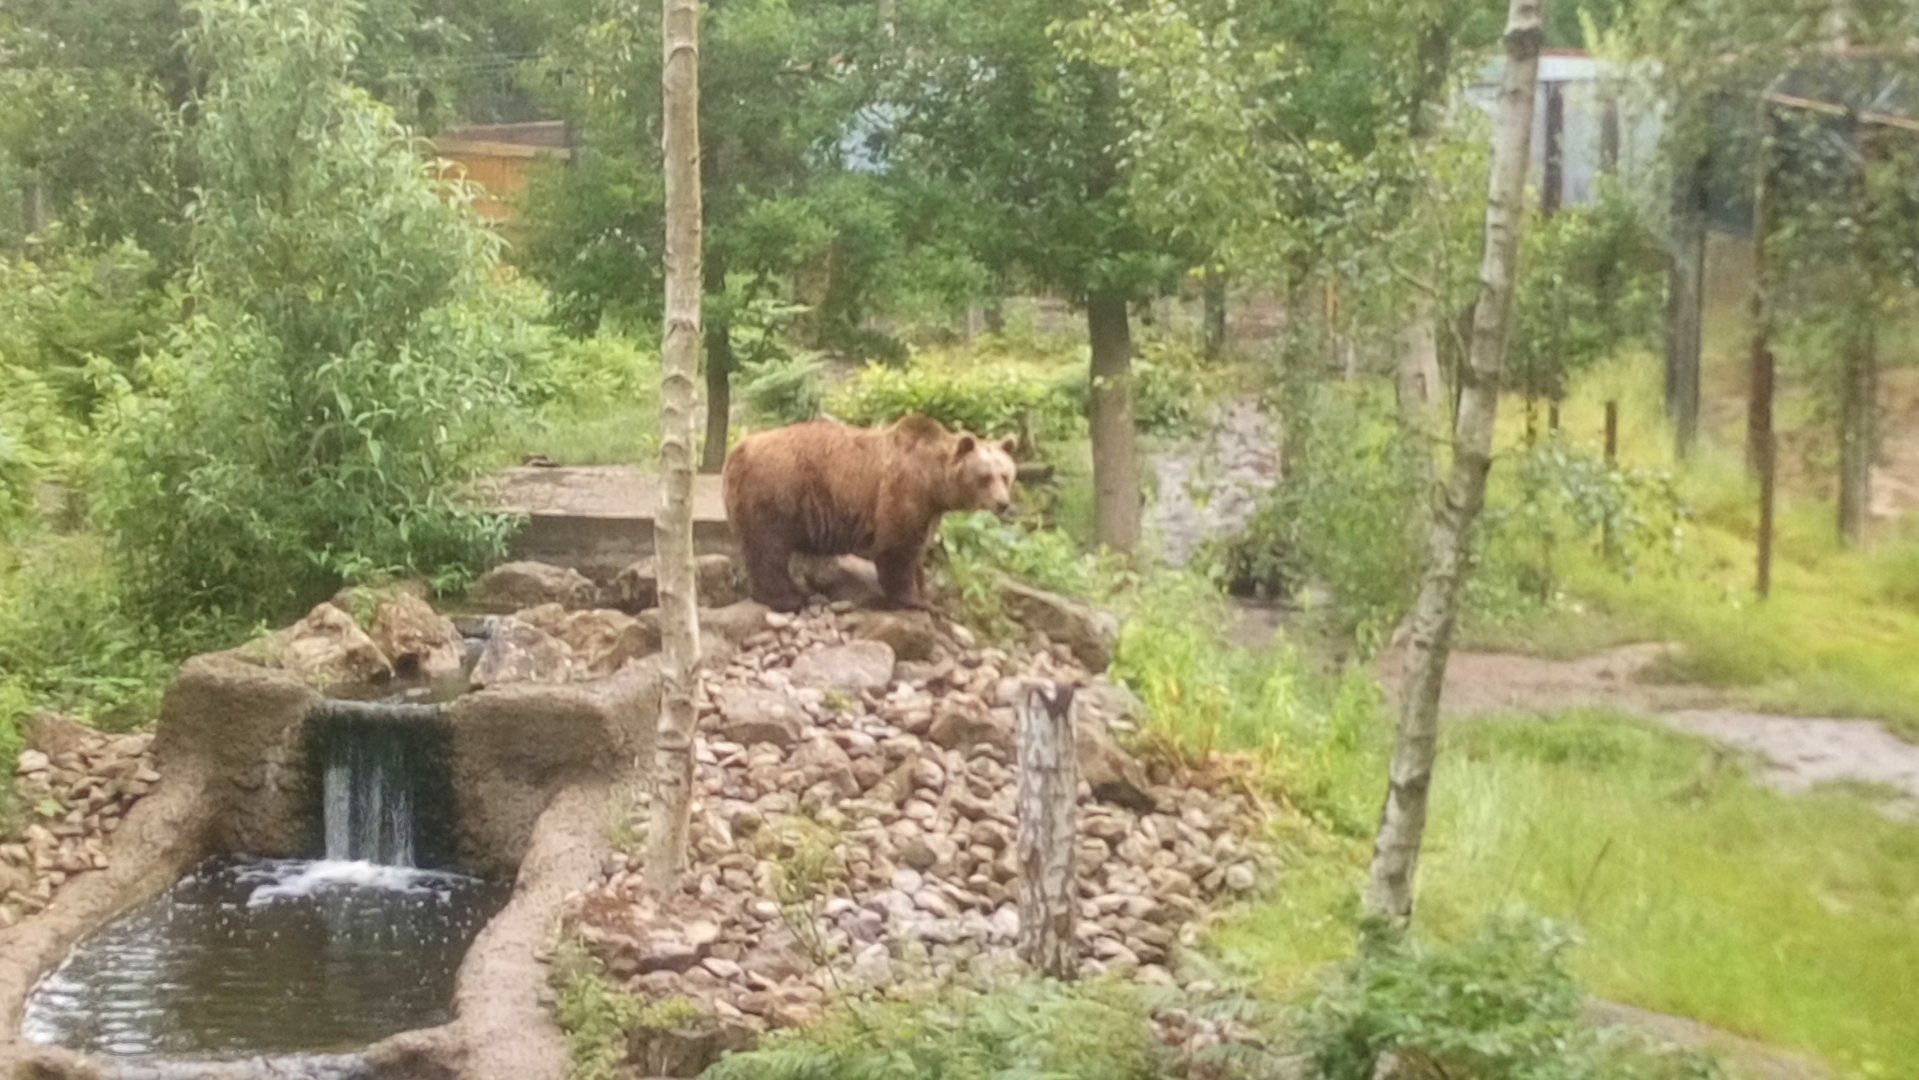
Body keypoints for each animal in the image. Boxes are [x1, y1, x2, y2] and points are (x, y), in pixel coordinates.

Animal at [720, 414, 1018, 613]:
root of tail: (736, 451)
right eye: (985, 477)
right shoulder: (901, 492)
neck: (932, 482)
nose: (1003, 503)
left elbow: (918, 548)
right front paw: (914, 600)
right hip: (776, 494)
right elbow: (897, 549)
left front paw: (926, 591)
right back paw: (788, 598)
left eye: (1006, 475)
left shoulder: (928, 510)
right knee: (769, 550)